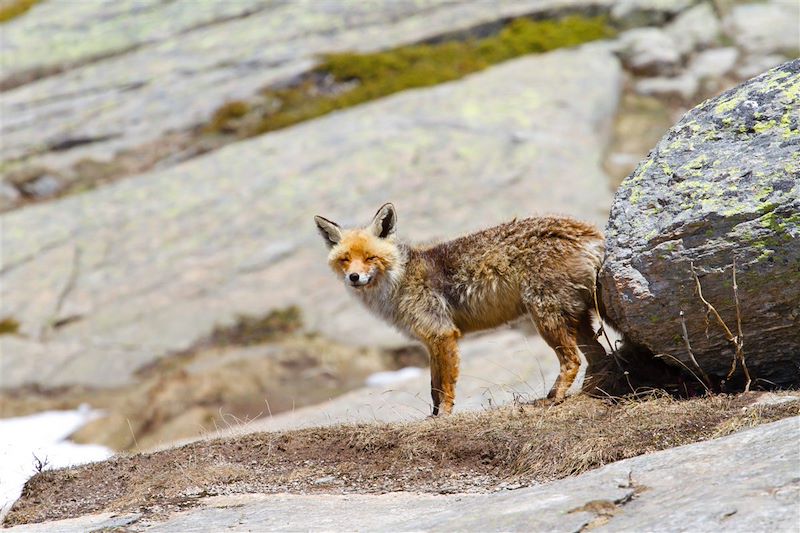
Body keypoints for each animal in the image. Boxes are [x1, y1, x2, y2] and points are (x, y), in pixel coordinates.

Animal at [316, 202, 608, 414]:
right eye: (345, 260)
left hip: (546, 318)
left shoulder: (442, 335)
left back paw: (554, 397)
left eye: (370, 258)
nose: (354, 277)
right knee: (598, 357)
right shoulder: (430, 341)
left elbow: (444, 387)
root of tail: (591, 232)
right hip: (576, 320)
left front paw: (443, 417)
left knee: (572, 360)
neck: (400, 280)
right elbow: (433, 387)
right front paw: (432, 418)